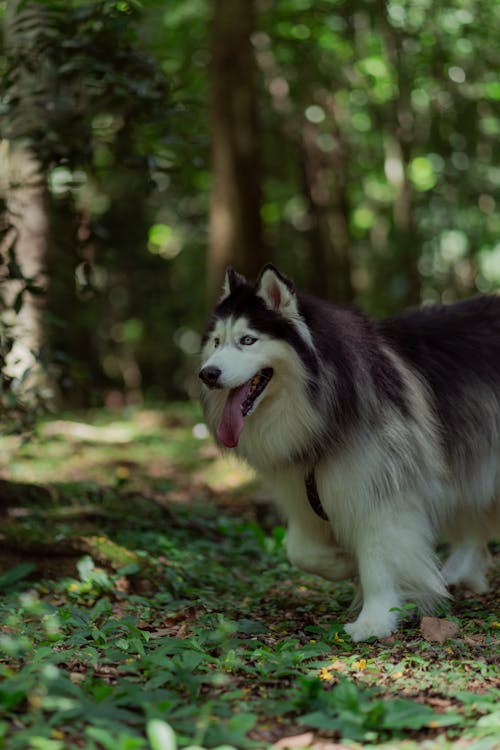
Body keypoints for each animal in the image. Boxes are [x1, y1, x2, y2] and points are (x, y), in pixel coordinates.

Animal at [199, 264, 500, 640]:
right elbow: (299, 550)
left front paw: (374, 619)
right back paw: (460, 575)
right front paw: (342, 563)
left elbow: (377, 559)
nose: (207, 374)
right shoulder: (305, 494)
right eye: (216, 341)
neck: (321, 411)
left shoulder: (379, 489)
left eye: (247, 340)